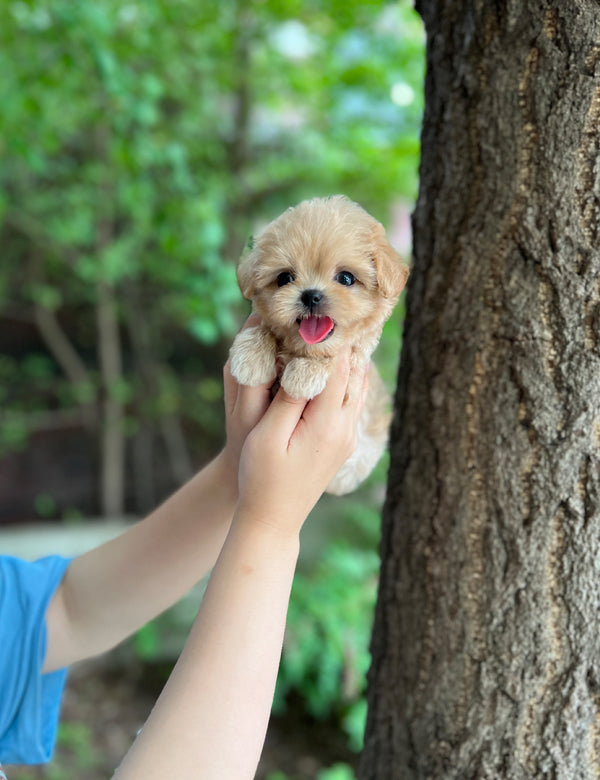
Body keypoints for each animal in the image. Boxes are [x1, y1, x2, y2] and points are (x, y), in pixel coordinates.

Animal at [230, 195, 408, 494]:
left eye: (346, 278)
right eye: (284, 278)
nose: (311, 295)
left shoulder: (352, 379)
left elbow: (334, 357)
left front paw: (303, 375)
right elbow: (265, 328)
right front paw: (250, 358)